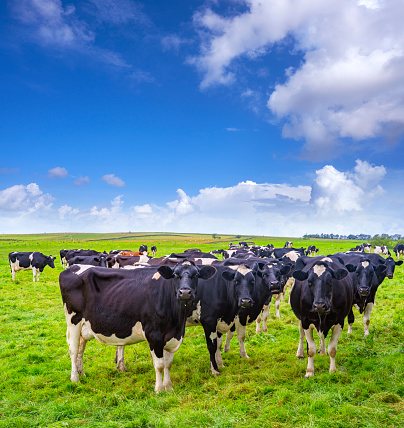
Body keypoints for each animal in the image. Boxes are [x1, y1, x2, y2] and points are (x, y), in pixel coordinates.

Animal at [58, 260, 216, 392]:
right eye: (175, 275)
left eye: (196, 275)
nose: (184, 292)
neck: (176, 321)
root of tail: (72, 267)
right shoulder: (154, 335)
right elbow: (159, 365)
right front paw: (159, 390)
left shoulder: (172, 336)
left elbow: (168, 364)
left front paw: (169, 387)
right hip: (73, 320)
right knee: (73, 349)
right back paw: (75, 379)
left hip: (84, 325)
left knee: (81, 348)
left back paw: (81, 373)